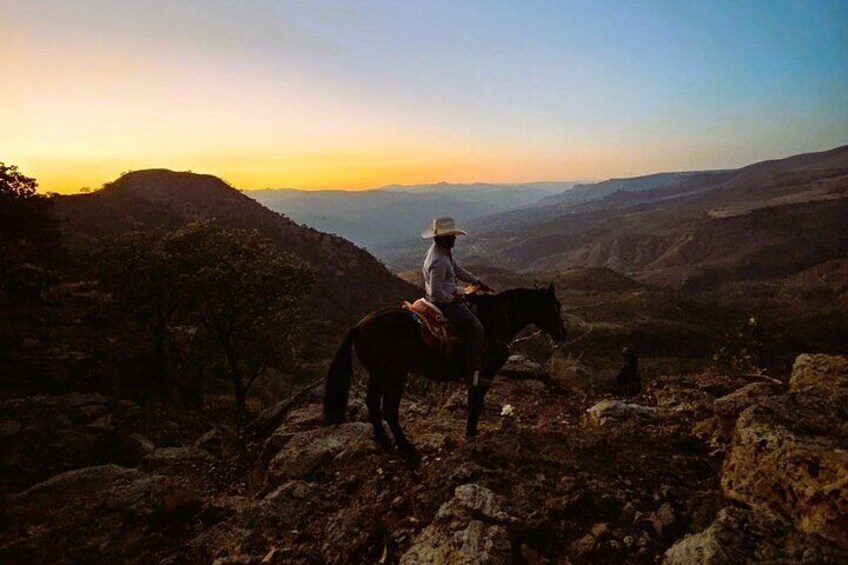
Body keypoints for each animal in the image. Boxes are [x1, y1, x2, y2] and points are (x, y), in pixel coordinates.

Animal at [322, 284, 568, 460]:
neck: (498, 320)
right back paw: (406, 447)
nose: (562, 334)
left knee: (373, 403)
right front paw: (471, 435)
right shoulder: (484, 372)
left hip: (379, 376)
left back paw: (385, 441)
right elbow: (476, 403)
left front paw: (471, 434)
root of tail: (359, 326)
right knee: (389, 410)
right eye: (555, 306)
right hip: (394, 376)